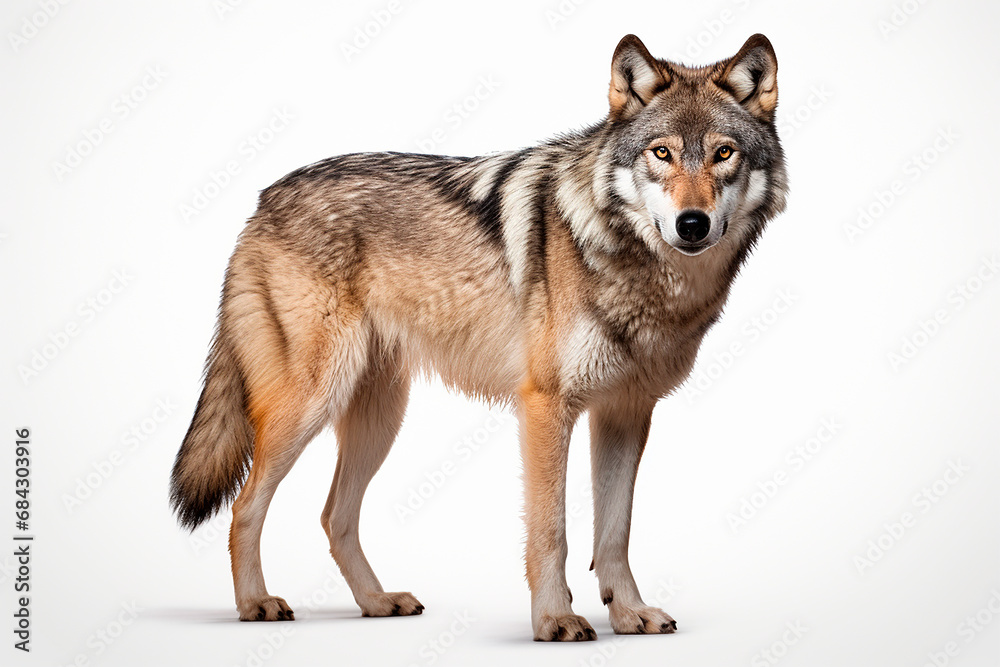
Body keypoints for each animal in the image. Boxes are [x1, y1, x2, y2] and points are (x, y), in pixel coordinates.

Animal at [170, 33, 788, 641]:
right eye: (661, 153)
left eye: (723, 153)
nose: (692, 224)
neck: (643, 276)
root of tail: (262, 200)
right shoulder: (545, 407)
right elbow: (552, 532)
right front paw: (555, 621)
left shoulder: (625, 412)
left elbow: (614, 533)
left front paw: (629, 614)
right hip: (311, 404)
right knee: (246, 505)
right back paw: (255, 603)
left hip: (380, 418)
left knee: (333, 516)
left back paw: (376, 603)